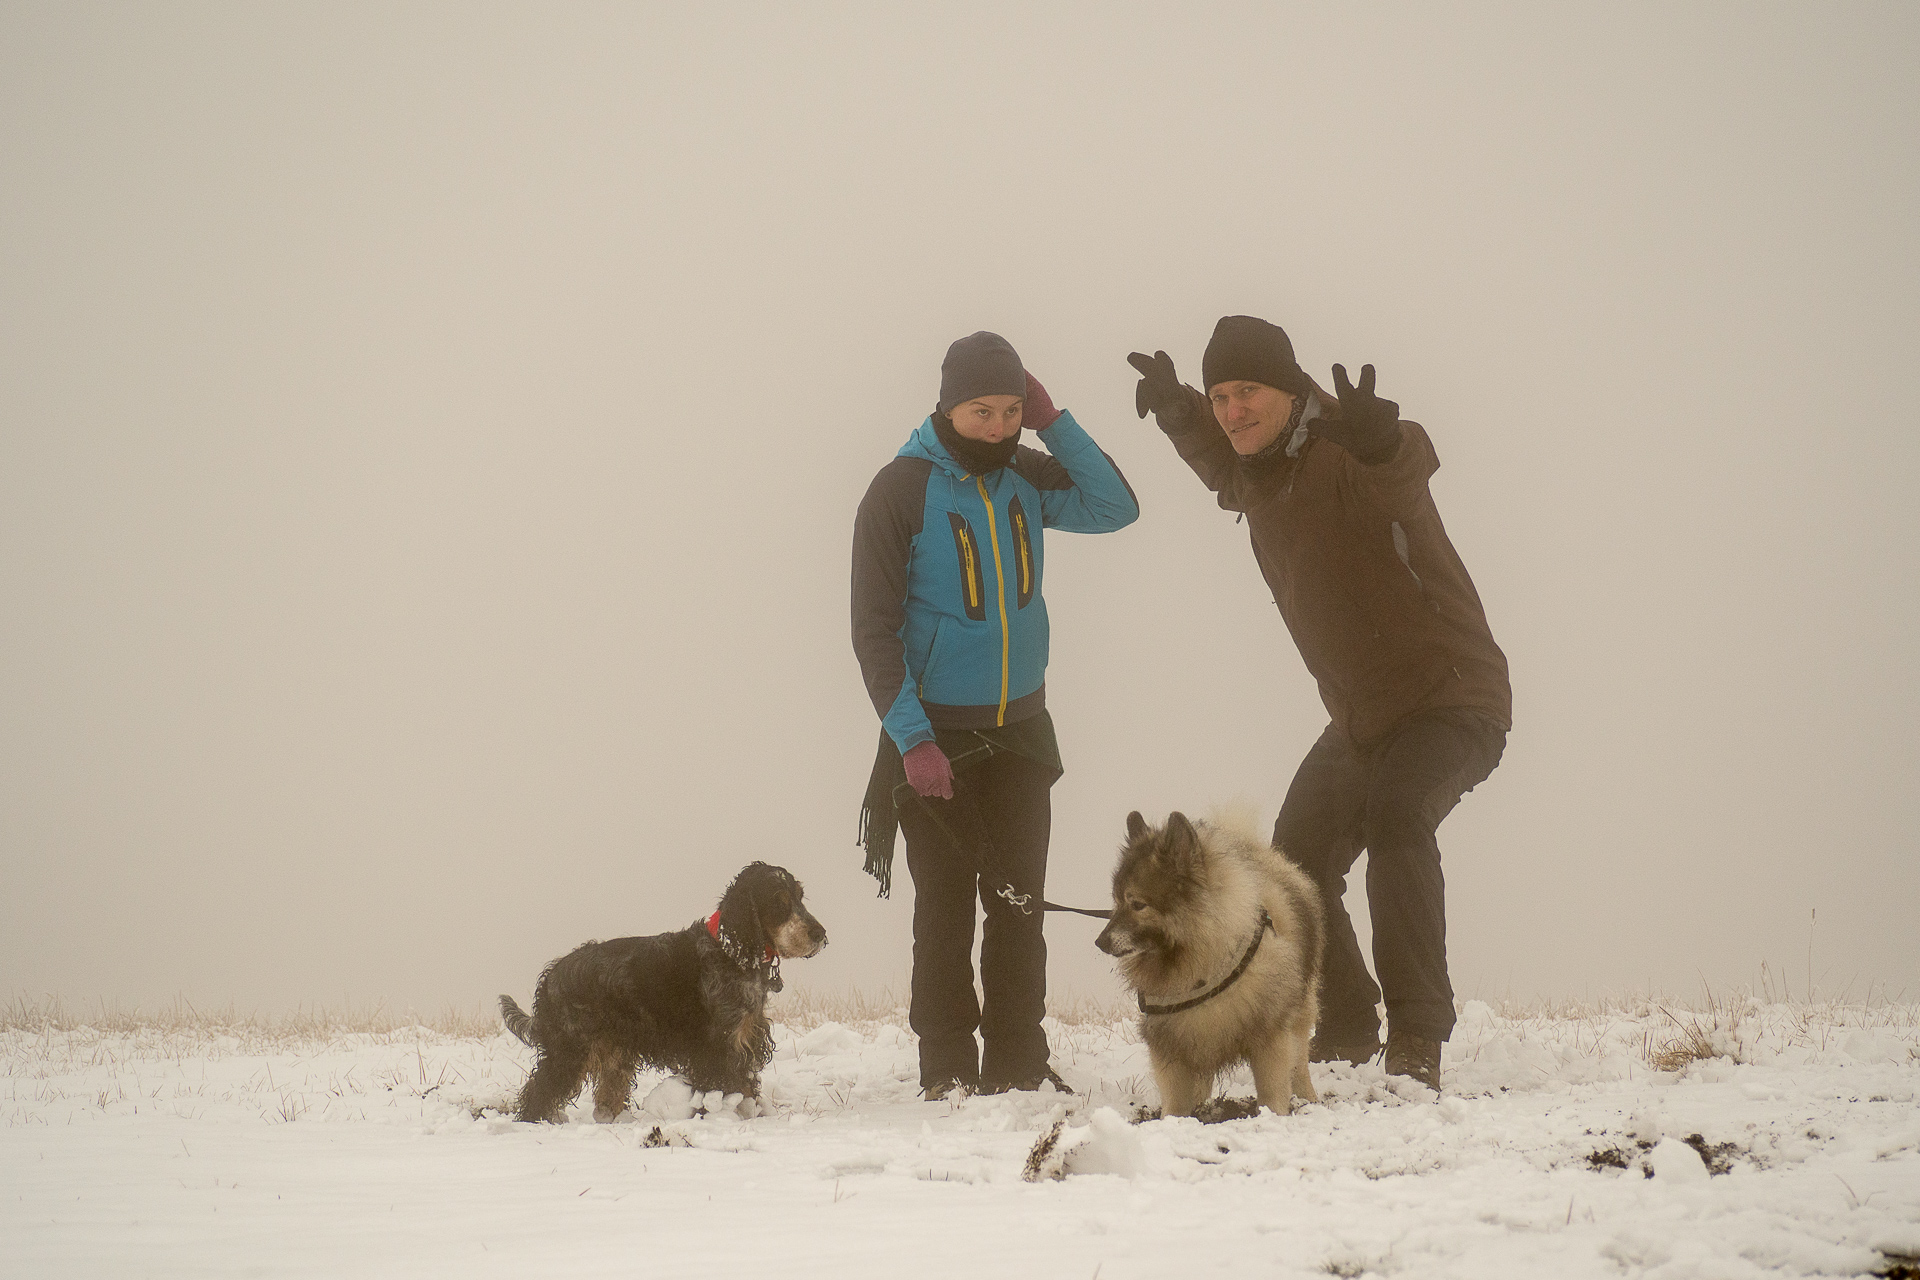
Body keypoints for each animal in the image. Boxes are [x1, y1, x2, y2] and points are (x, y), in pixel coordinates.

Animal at [499, 859, 821, 1120]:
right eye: (778, 902)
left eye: (800, 897)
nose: (820, 933)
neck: (731, 951)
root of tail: (551, 977)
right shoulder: (716, 1045)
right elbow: (725, 1088)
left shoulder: (746, 1038)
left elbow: (746, 1088)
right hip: (570, 1048)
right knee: (540, 1092)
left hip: (615, 1052)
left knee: (607, 1096)